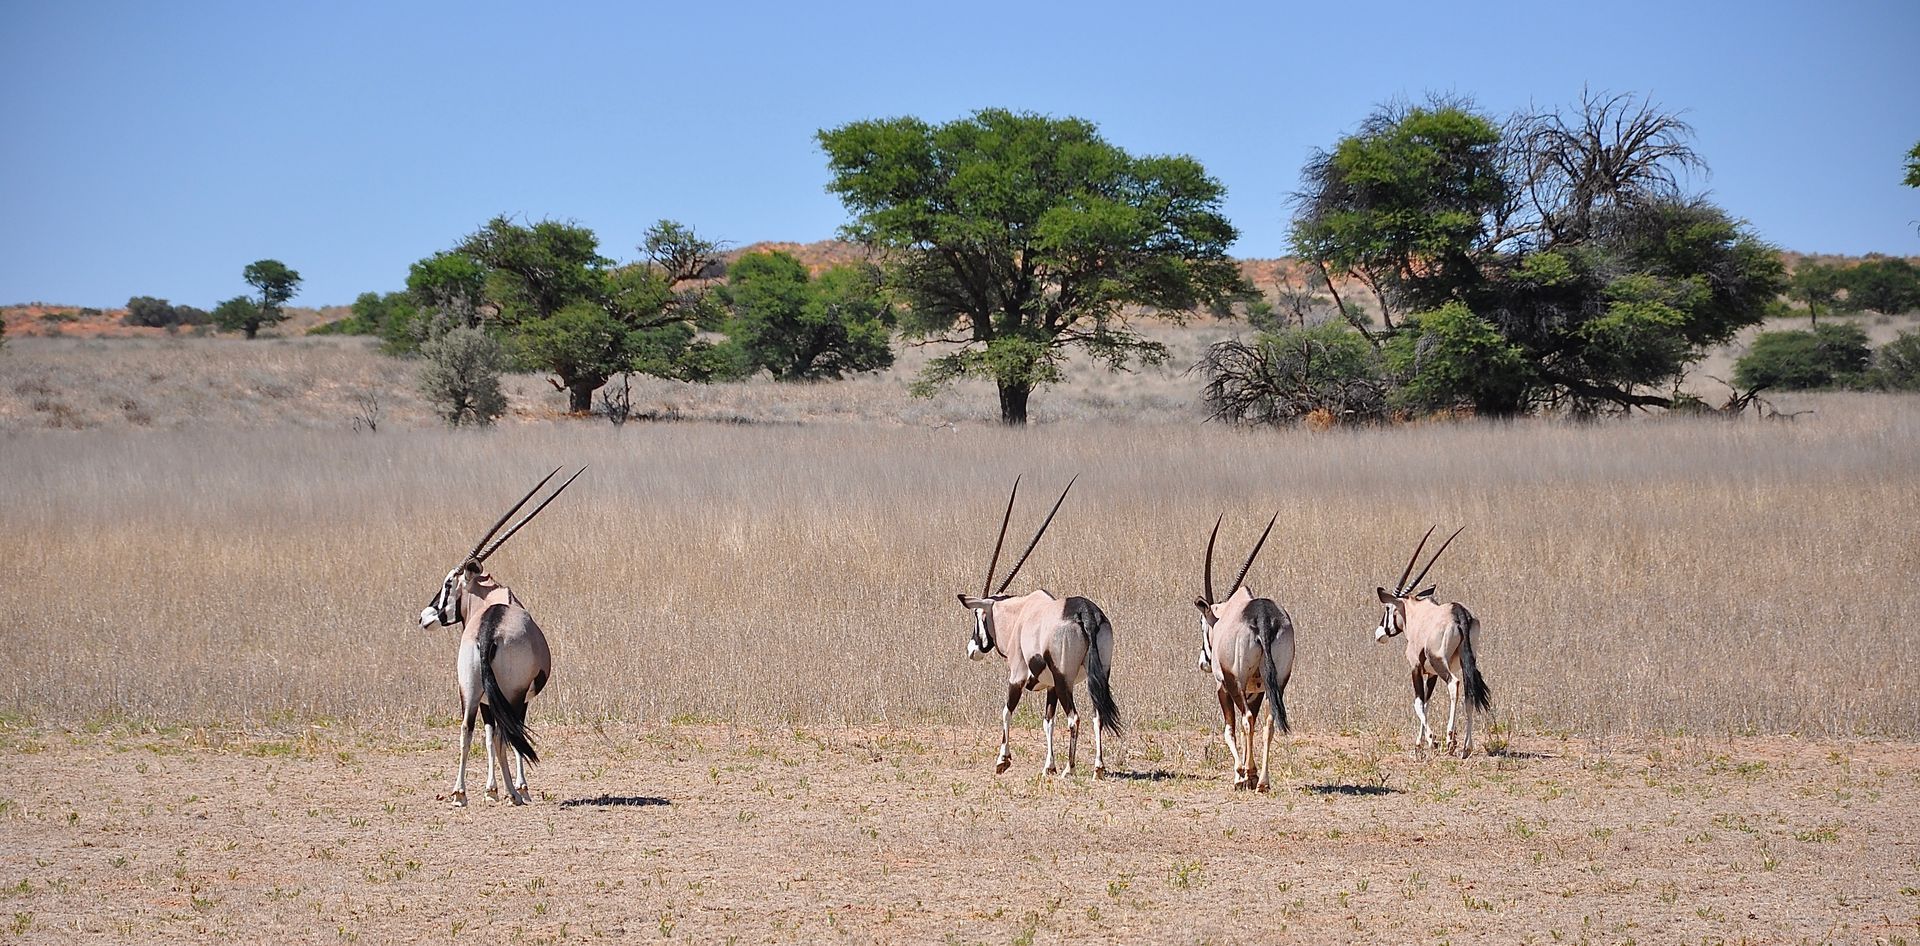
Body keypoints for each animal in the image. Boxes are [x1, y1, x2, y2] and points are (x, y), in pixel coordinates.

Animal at [418, 467, 583, 807]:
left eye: (447, 584)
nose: (424, 617)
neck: (491, 601)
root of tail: (490, 629)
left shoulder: (483, 699)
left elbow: (485, 734)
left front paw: (490, 790)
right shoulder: (516, 699)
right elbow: (504, 737)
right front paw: (515, 788)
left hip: (470, 690)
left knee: (467, 730)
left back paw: (460, 794)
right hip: (511, 694)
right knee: (510, 735)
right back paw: (513, 794)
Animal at [958, 476, 1121, 778]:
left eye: (977, 614)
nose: (972, 649)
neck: (1019, 614)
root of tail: (1087, 613)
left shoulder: (1018, 676)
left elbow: (1006, 711)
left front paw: (1003, 760)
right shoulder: (1050, 688)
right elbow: (1048, 721)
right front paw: (1049, 766)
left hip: (1064, 677)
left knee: (1075, 717)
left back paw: (1071, 769)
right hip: (1098, 675)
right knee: (1097, 715)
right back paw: (1098, 768)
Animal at [1194, 513, 1294, 791]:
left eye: (1202, 624)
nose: (1203, 663)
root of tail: (1263, 618)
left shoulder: (1224, 685)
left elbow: (1230, 728)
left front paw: (1240, 774)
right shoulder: (1256, 689)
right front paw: (1251, 774)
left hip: (1235, 682)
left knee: (1246, 719)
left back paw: (1247, 775)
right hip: (1277, 682)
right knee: (1268, 722)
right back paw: (1263, 781)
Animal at [1374, 526, 1492, 758]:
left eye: (1388, 608)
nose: (1379, 634)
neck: (1416, 613)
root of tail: (1460, 613)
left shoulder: (1416, 667)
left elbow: (1418, 703)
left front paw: (1430, 740)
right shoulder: (1431, 674)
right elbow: (1427, 703)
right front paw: (1419, 743)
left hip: (1440, 661)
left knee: (1454, 684)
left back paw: (1450, 740)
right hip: (1466, 662)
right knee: (1469, 693)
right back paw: (1466, 747)